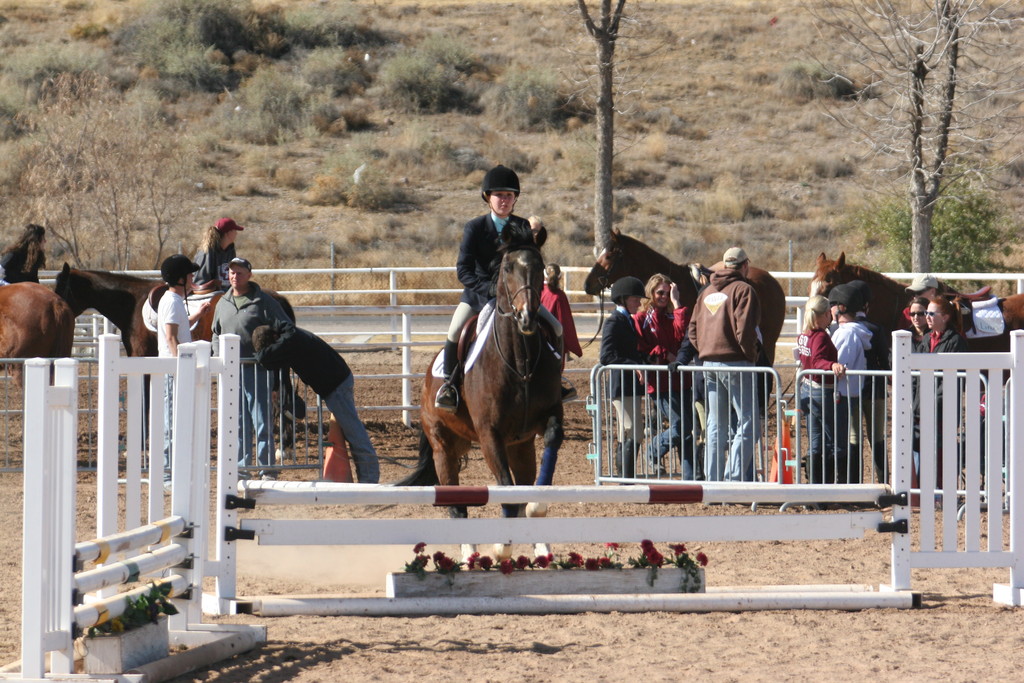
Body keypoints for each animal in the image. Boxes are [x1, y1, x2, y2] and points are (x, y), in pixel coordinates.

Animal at [393, 223, 565, 561]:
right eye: (508, 267)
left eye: (540, 267)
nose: (527, 317)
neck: (520, 360)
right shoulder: (489, 434)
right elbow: (508, 493)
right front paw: (501, 547)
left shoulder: (547, 417)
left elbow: (548, 449)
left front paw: (537, 509)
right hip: (444, 448)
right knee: (456, 506)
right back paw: (470, 556)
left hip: (519, 446)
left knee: (521, 483)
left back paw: (540, 548)